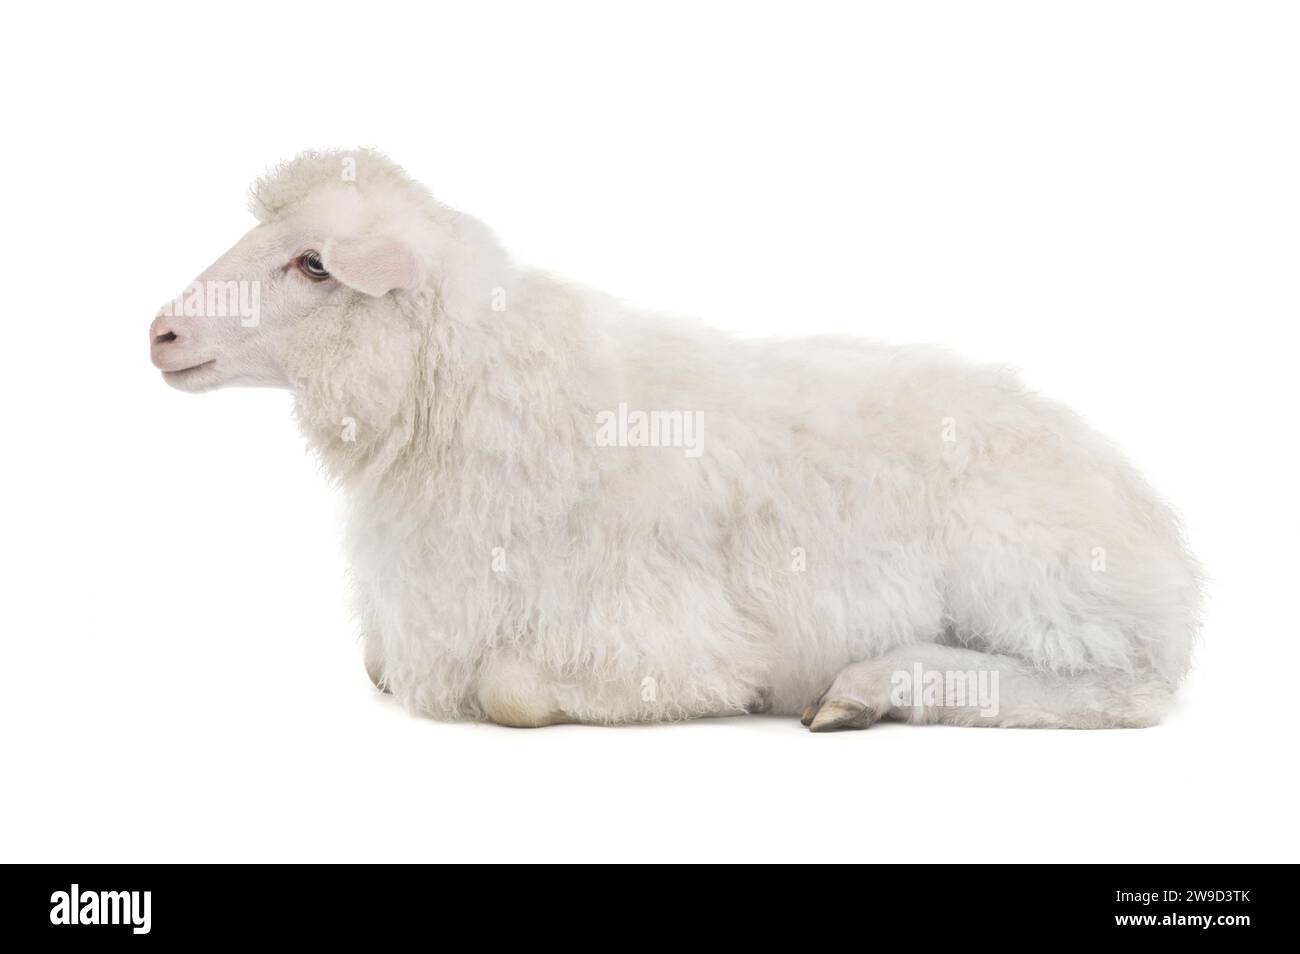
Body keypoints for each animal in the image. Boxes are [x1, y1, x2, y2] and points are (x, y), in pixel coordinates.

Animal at [149, 149, 1203, 731]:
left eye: (313, 264)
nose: (160, 333)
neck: (481, 392)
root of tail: (1163, 543)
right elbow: (376, 663)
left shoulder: (668, 640)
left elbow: (512, 688)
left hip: (1038, 585)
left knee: (1117, 691)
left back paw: (869, 686)